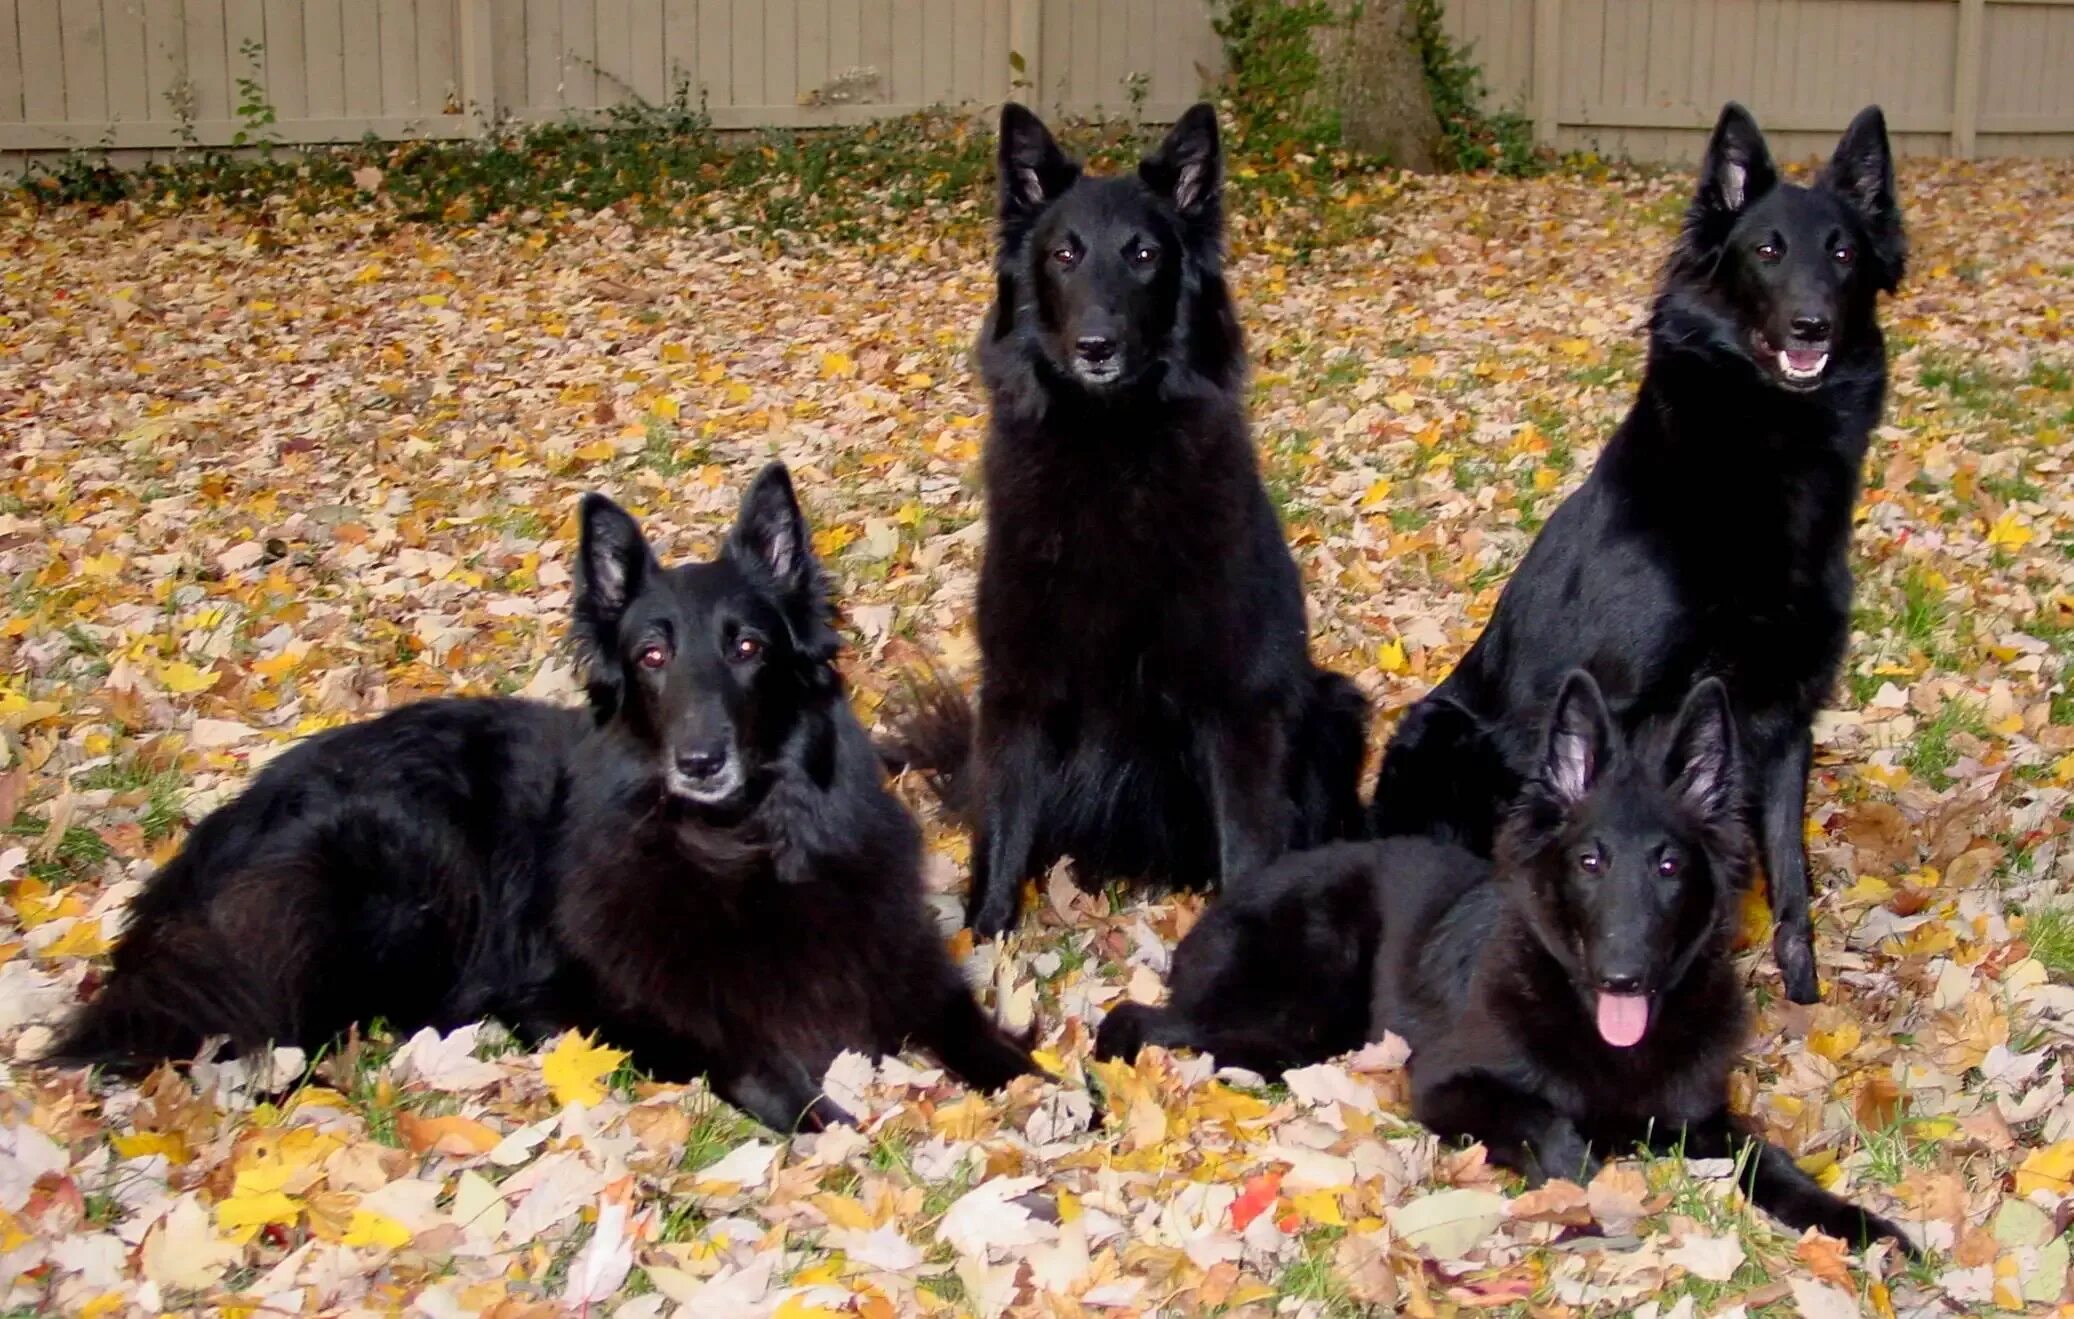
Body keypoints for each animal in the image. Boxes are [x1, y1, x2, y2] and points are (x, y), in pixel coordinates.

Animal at [52, 466, 1037, 1136]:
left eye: (749, 646)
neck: (739, 845)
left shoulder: (902, 961)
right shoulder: (596, 1004)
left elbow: (983, 1035)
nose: (700, 759)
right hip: (397, 872)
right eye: (651, 655)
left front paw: (1043, 1092)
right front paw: (836, 1121)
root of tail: (212, 838)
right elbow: (754, 1064)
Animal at [887, 103, 1360, 933]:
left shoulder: (1237, 702)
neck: (1110, 448)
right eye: (1064, 254)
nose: (1096, 346)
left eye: (1143, 254)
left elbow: (1247, 846)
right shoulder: (1017, 686)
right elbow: (1000, 830)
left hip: (1335, 706)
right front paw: (985, 938)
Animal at [1103, 676, 1908, 1252]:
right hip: (1295, 1016)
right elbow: (1550, 1126)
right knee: (1129, 1018)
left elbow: (1771, 1161)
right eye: (1590, 861)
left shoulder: (1700, 1116)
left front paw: (1855, 1222)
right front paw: (1589, 1207)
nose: (1622, 975)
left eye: (1670, 864)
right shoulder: (1442, 1083)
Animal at [1368, 103, 1899, 1003]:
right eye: (1766, 251)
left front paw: (1802, 992)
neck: (1763, 458)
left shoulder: (1786, 714)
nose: (1812, 325)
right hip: (1441, 736)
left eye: (1843, 253)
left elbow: (1789, 875)